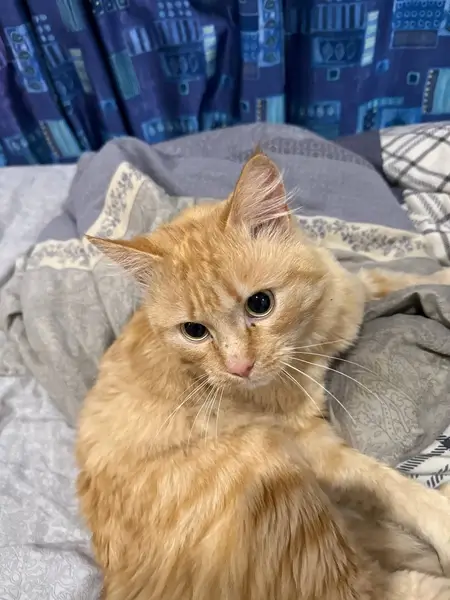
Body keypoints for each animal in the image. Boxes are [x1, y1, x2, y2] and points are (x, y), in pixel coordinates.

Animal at [76, 149, 450, 600]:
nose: (239, 367)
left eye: (260, 303)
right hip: (266, 461)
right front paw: (440, 516)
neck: (312, 336)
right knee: (369, 585)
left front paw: (440, 275)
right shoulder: (310, 443)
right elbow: (383, 481)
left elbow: (389, 277)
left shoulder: (354, 286)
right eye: (194, 331)